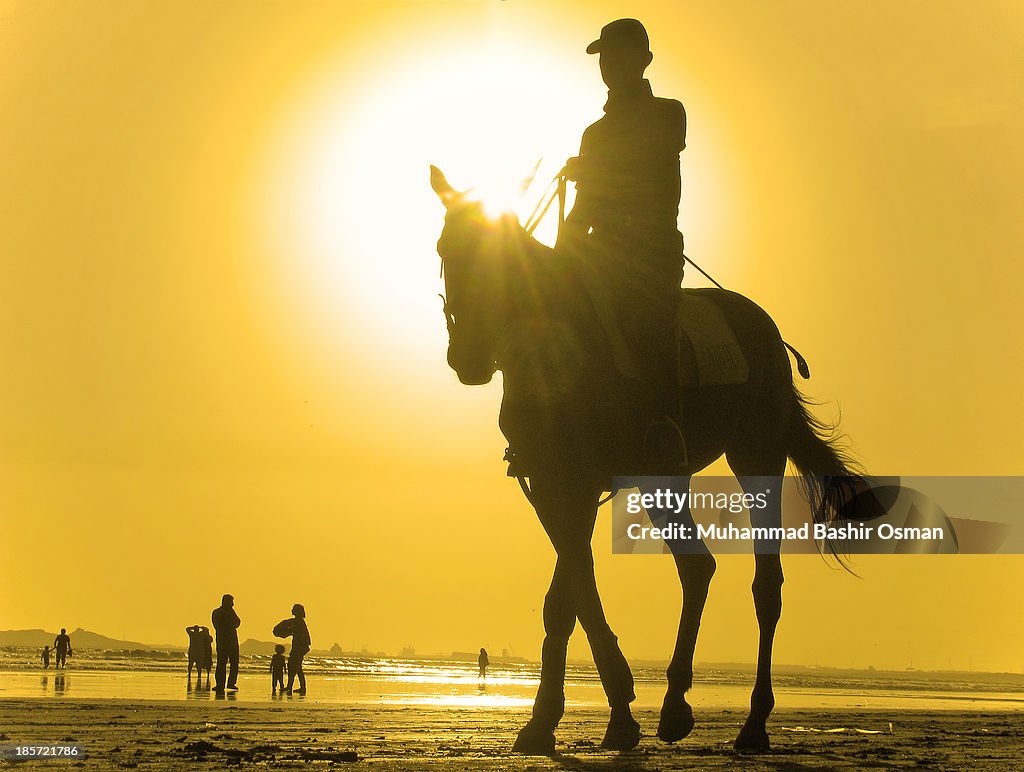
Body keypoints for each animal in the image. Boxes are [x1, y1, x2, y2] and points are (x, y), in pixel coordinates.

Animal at [428, 163, 860, 753]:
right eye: (444, 248)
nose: (468, 357)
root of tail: (767, 333)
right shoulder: (552, 483)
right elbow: (569, 595)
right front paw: (562, 718)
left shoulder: (581, 482)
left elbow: (575, 593)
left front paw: (604, 708)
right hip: (665, 477)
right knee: (697, 567)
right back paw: (677, 707)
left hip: (755, 456)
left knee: (758, 584)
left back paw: (745, 721)